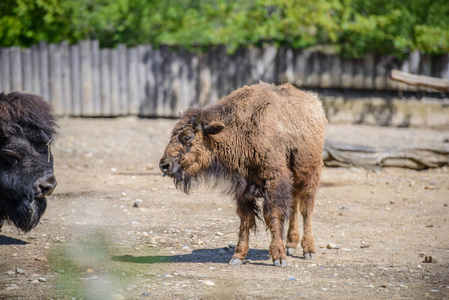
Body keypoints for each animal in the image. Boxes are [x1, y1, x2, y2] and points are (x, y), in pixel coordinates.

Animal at [160, 82, 326, 268]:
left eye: (188, 137)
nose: (164, 165)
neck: (242, 129)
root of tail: (315, 103)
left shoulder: (274, 179)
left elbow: (273, 215)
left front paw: (279, 257)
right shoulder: (244, 186)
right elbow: (245, 218)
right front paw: (237, 256)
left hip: (311, 175)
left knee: (306, 210)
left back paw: (308, 251)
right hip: (296, 179)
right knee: (295, 205)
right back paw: (291, 244)